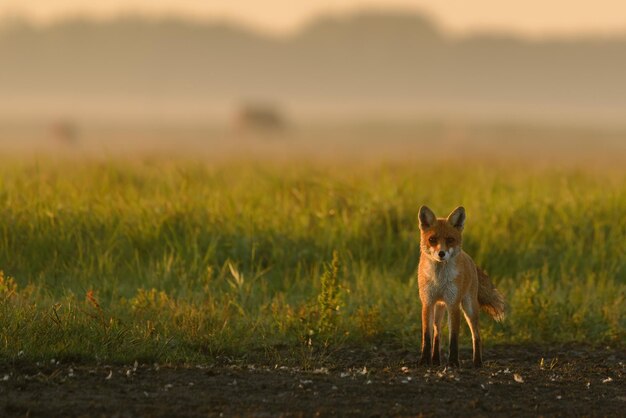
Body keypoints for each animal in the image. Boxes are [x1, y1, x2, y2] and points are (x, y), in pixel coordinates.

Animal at [416, 206, 504, 366]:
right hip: (439, 307)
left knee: (477, 335)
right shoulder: (427, 303)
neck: (439, 279)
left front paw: (453, 362)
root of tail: (468, 257)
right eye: (432, 239)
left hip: (469, 308)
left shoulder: (453, 304)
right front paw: (424, 360)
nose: (441, 253)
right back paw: (435, 360)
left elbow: (454, 338)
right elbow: (427, 336)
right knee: (437, 332)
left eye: (450, 240)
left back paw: (477, 362)